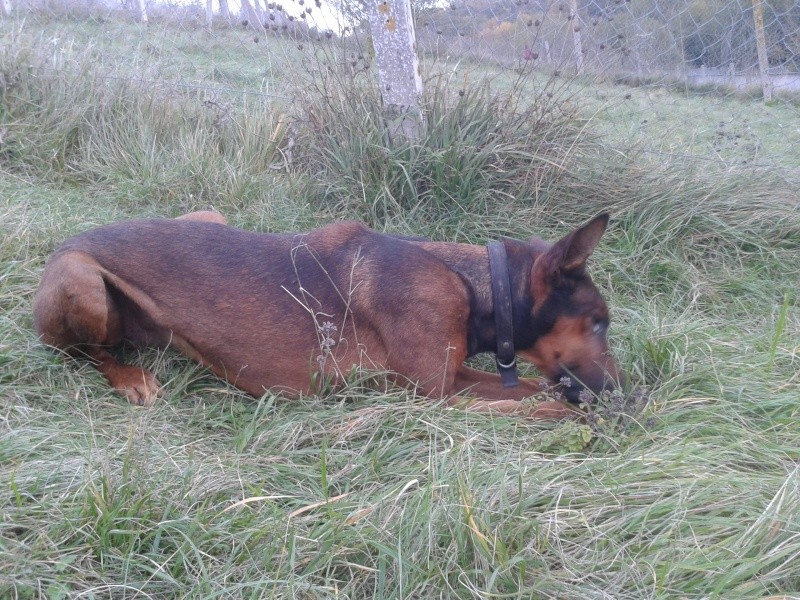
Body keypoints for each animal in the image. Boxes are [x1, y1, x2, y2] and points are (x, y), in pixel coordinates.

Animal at [32, 213, 620, 420]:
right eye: (599, 322)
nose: (623, 391)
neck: (476, 286)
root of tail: (67, 241)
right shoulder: (434, 394)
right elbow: (538, 401)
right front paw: (587, 413)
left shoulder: (451, 378)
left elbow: (535, 389)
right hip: (83, 281)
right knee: (89, 351)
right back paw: (132, 378)